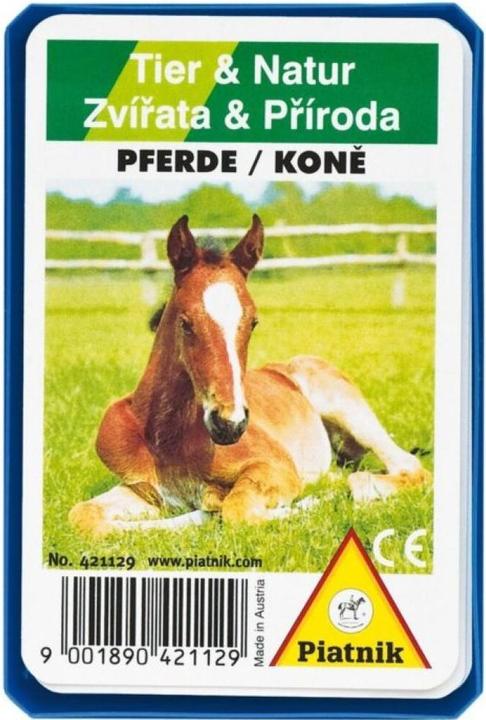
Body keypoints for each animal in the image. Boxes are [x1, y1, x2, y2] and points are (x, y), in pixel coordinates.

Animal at [69, 214, 429, 536]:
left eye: (253, 322)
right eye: (185, 323)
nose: (230, 425)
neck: (165, 437)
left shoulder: (276, 467)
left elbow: (237, 510)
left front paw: (312, 502)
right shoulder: (143, 489)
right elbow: (83, 516)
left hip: (346, 406)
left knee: (407, 469)